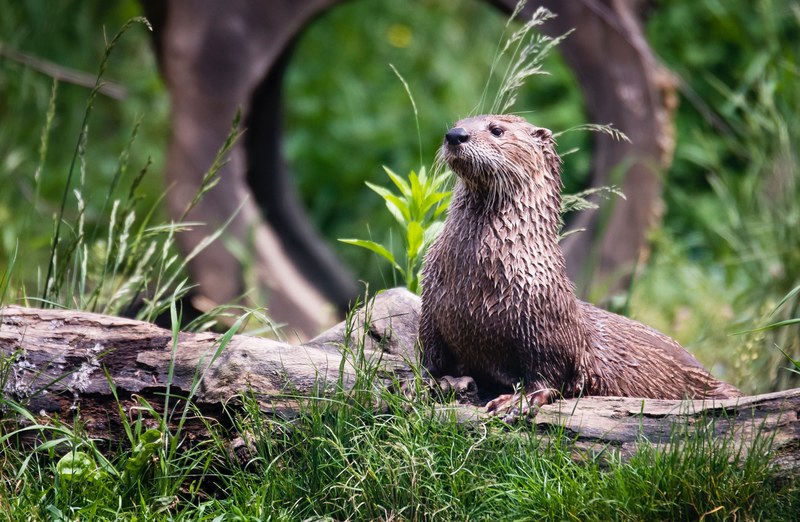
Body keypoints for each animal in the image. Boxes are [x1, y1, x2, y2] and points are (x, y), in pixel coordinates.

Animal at [419, 114, 740, 418]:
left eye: (497, 129)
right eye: (458, 123)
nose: (455, 135)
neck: (475, 281)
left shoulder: (546, 325)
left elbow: (549, 374)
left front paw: (517, 402)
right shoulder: (431, 308)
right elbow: (430, 357)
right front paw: (428, 383)